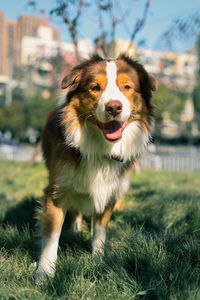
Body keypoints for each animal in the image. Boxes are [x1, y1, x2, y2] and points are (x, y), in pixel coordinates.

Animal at [36, 54, 158, 278]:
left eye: (127, 87)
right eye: (95, 88)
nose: (114, 107)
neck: (100, 148)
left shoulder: (110, 192)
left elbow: (100, 232)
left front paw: (98, 260)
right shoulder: (57, 191)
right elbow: (51, 237)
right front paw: (44, 273)